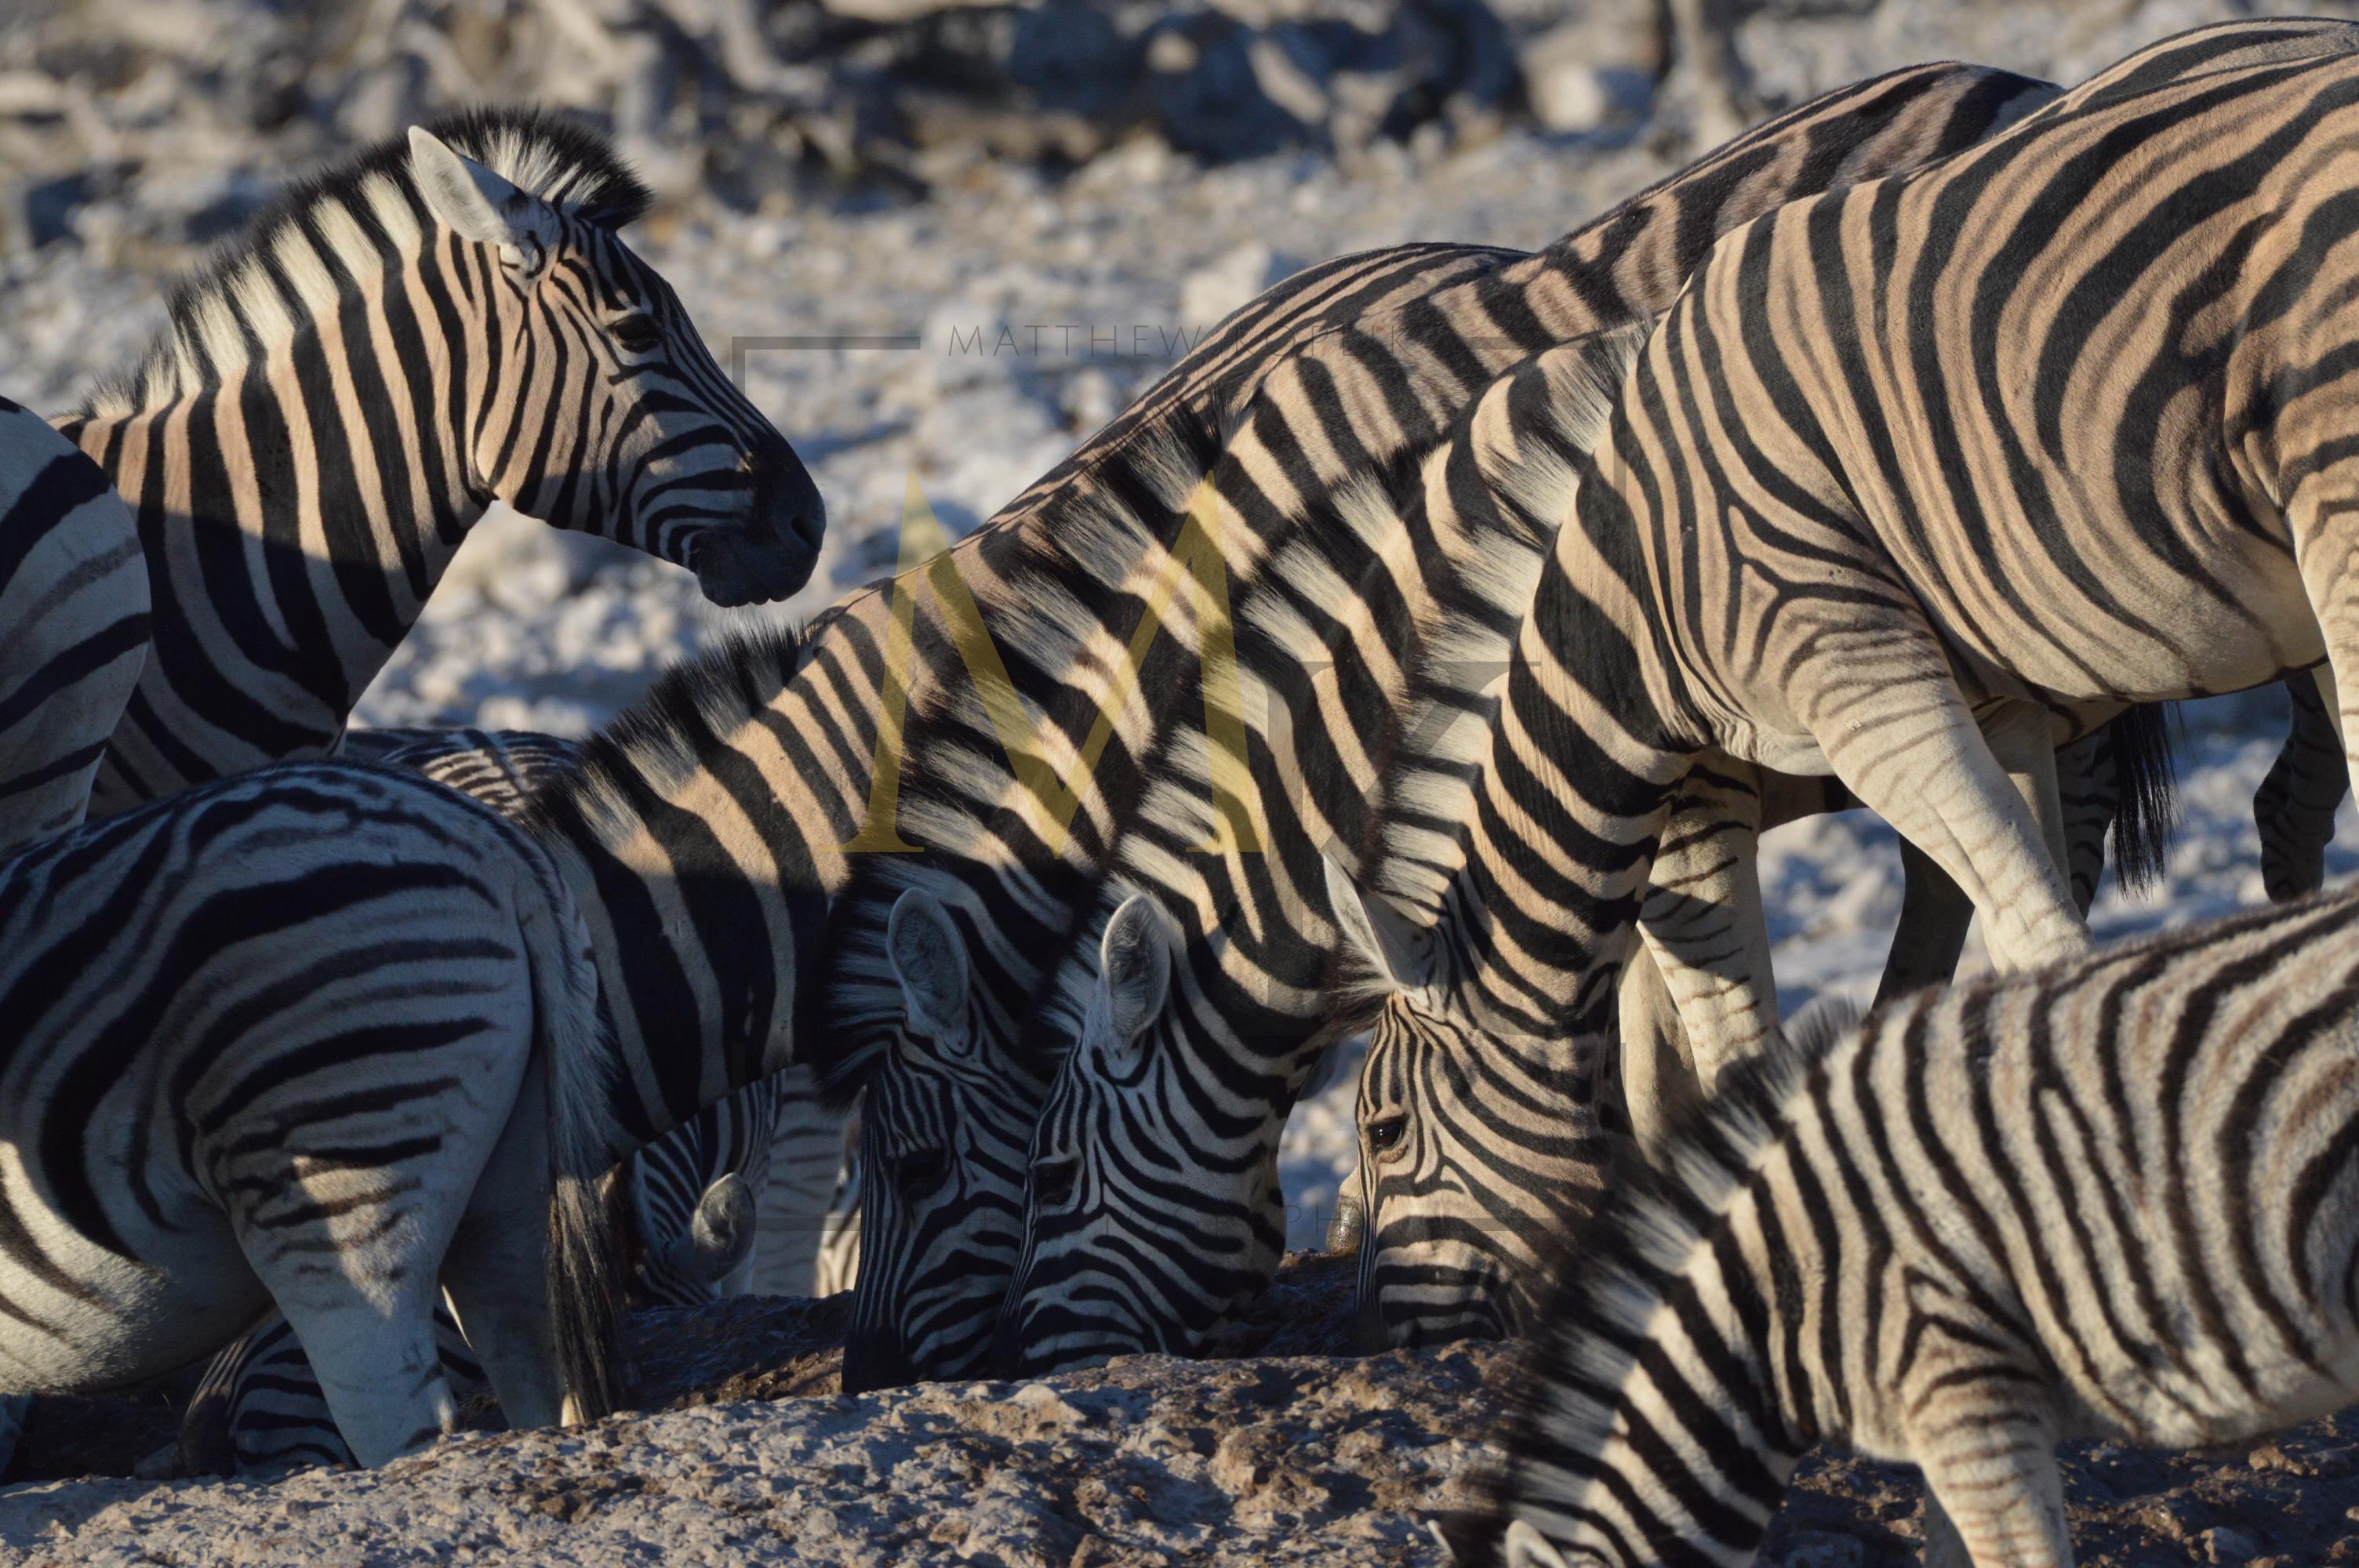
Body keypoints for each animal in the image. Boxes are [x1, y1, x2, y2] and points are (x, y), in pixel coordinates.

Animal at [1332, 18, 2359, 1352]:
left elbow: (1760, 1027)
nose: (1396, 1342)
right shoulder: (1996, 704)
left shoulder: (1857, 687)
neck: (1632, 581)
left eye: (1385, 1129)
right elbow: (2011, 937)